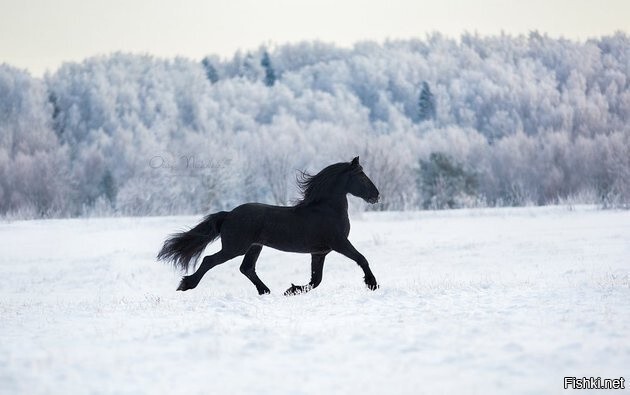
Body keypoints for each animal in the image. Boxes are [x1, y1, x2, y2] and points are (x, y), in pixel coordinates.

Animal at [160, 156, 382, 296]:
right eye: (362, 176)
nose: (376, 195)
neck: (325, 210)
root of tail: (229, 214)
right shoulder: (339, 243)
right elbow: (361, 258)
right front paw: (372, 284)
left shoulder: (319, 253)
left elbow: (315, 280)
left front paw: (291, 290)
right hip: (235, 248)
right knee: (209, 260)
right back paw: (186, 284)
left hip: (254, 247)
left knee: (246, 268)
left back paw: (265, 291)